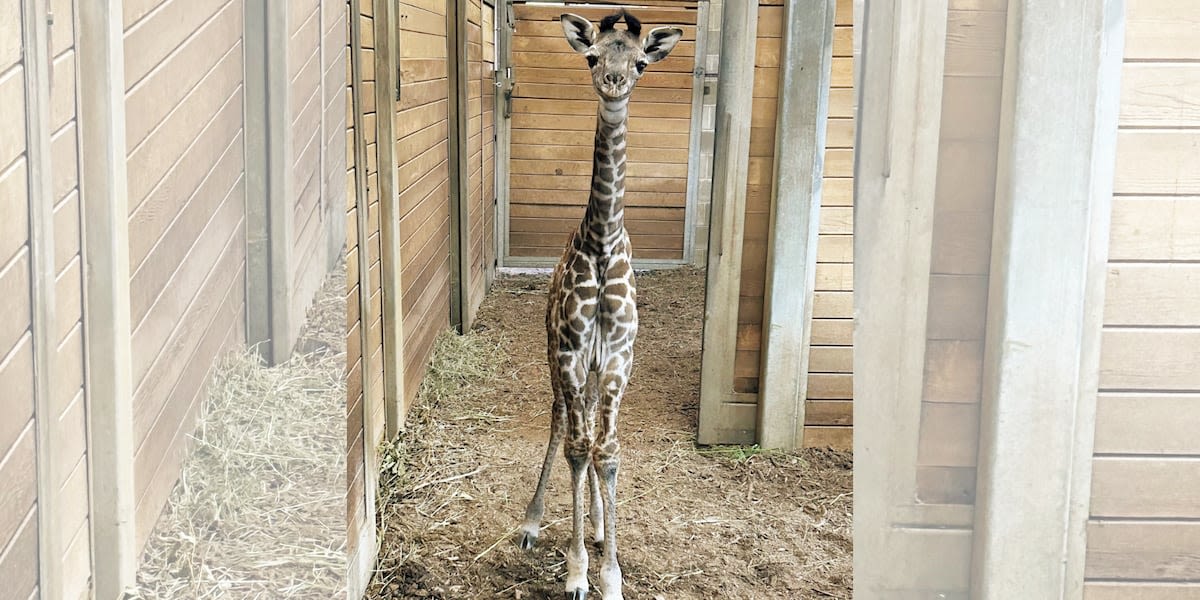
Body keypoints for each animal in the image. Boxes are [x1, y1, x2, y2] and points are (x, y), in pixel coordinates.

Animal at [516, 9, 686, 600]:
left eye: (639, 62)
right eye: (592, 55)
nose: (613, 83)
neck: (601, 239)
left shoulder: (616, 357)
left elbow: (606, 451)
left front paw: (610, 573)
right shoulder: (571, 352)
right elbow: (575, 445)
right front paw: (576, 571)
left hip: (591, 369)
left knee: (589, 428)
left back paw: (593, 521)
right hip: (557, 355)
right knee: (561, 422)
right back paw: (533, 523)